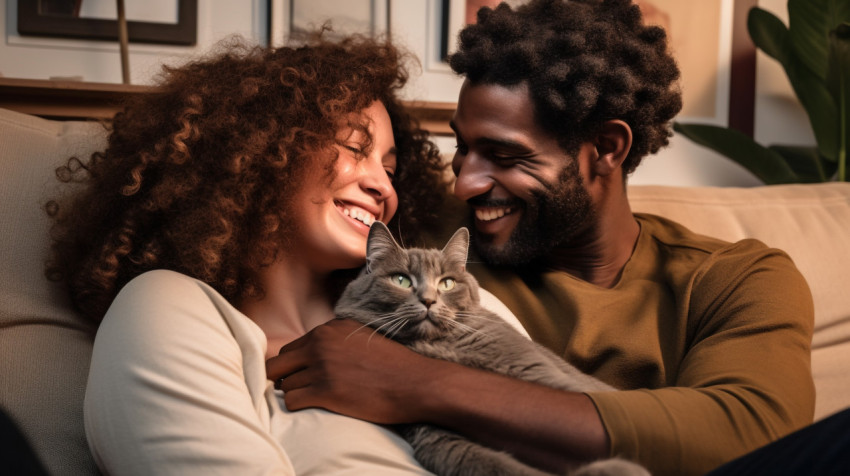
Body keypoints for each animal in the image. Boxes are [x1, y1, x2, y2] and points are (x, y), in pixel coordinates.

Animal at [334, 222, 644, 476]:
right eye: (401, 280)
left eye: (447, 283)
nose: (429, 300)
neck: (437, 346)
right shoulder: (434, 432)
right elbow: (486, 464)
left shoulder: (540, 374)